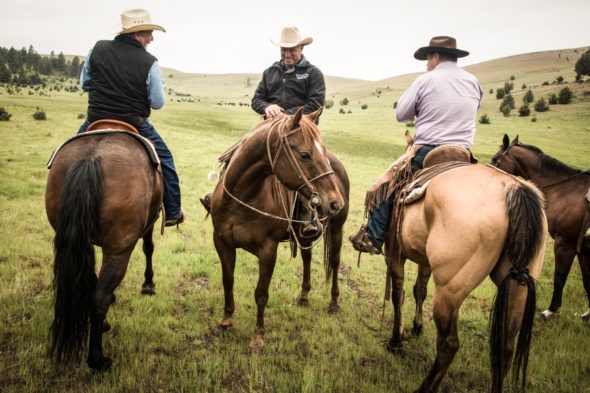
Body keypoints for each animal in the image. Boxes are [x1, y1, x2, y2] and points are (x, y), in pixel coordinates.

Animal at [44, 130, 165, 370]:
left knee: (90, 285)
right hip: (119, 250)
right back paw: (98, 358)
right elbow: (148, 248)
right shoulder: (149, 224)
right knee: (99, 296)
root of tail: (91, 158)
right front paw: (148, 283)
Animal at [209, 108, 346, 350]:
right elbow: (228, 281)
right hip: (305, 235)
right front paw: (226, 321)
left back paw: (334, 302)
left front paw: (257, 337)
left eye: (322, 151)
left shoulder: (267, 250)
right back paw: (303, 296)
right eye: (304, 155)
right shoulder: (222, 242)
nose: (335, 202)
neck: (243, 196)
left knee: (335, 262)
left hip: (337, 229)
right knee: (307, 257)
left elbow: (261, 293)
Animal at [384, 155, 552, 388]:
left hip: (448, 290)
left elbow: (398, 294)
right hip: (518, 288)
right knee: (506, 348)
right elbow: (420, 290)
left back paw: (426, 386)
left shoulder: (394, 254)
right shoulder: (424, 260)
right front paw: (417, 326)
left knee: (449, 343)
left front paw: (396, 340)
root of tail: (513, 187)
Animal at [490, 134, 590, 318]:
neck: (565, 190)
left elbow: (559, 278)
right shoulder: (582, 248)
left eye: (495, 158)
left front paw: (551, 309)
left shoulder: (565, 243)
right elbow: (587, 280)